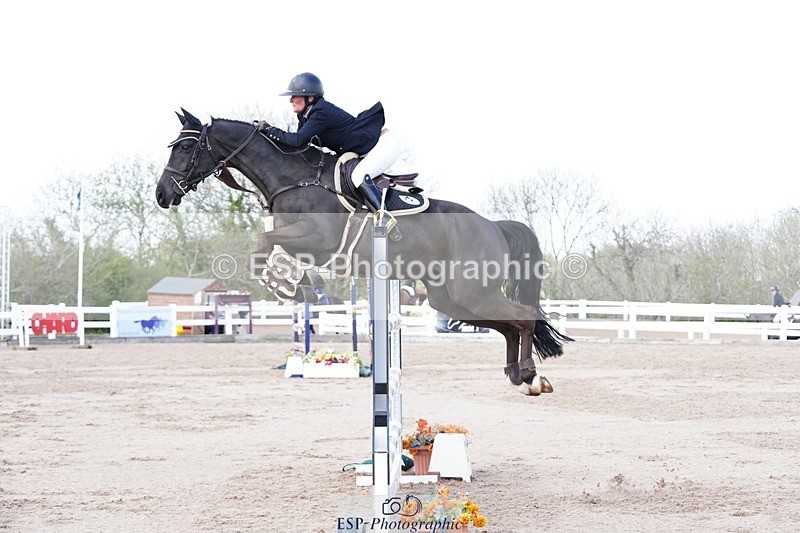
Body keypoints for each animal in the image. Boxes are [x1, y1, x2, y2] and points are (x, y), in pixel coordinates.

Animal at [155, 109, 571, 396]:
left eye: (187, 146)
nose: (162, 194)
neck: (292, 177)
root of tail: (494, 225)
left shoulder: (316, 237)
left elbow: (262, 244)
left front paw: (284, 287)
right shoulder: (305, 243)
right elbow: (269, 250)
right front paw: (298, 287)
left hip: (471, 291)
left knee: (522, 317)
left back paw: (530, 375)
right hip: (450, 298)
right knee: (509, 324)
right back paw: (521, 377)